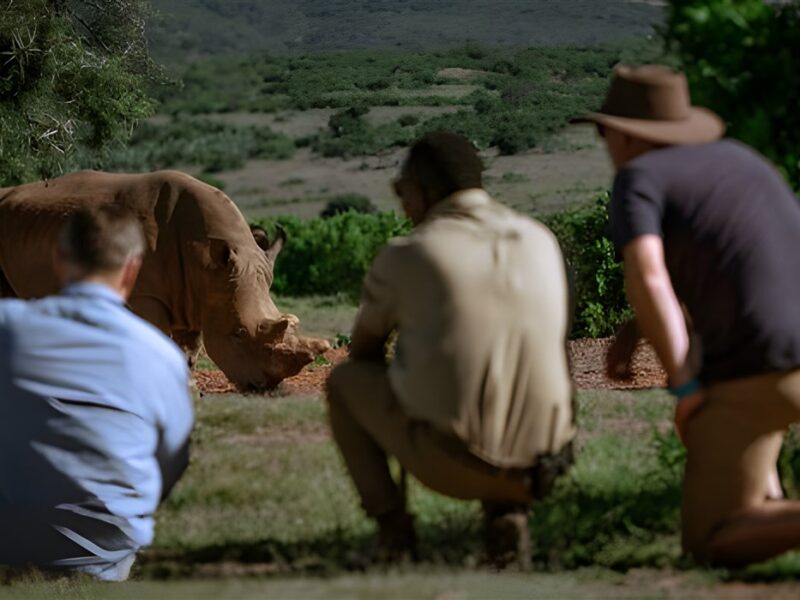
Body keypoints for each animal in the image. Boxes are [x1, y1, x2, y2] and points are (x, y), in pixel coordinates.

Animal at [0, 169, 329, 390]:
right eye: (238, 333)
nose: (266, 388)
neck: (204, 261)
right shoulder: (145, 294)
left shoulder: (197, 295)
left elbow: (189, 351)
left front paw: (189, 391)